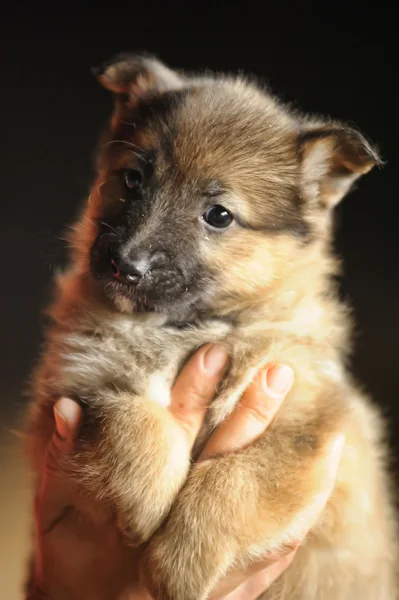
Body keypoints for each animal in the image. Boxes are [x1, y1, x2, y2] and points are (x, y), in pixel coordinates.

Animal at [26, 54, 398, 596]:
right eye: (133, 180)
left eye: (218, 215)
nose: (125, 264)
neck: (181, 329)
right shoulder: (72, 388)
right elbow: (127, 419)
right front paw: (147, 502)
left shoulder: (311, 428)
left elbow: (234, 482)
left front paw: (178, 565)